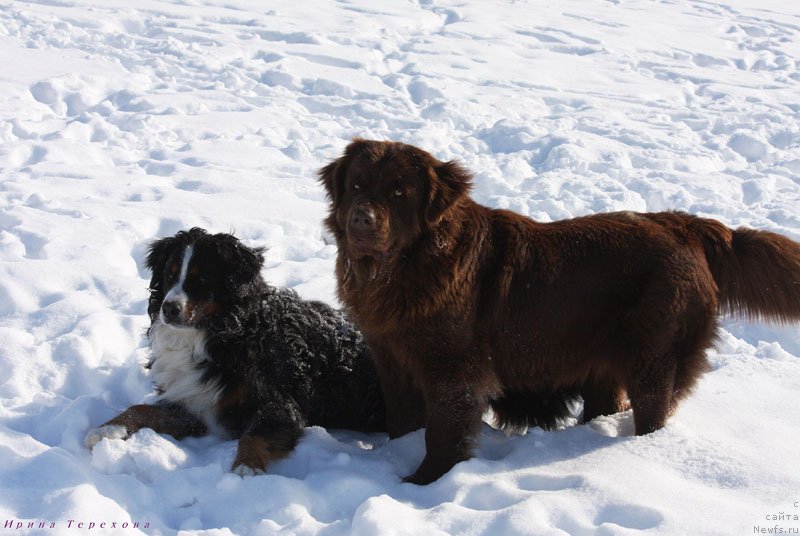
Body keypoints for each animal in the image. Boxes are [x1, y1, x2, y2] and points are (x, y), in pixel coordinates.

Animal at [86, 228, 386, 476]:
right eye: (170, 274)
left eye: (201, 278)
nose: (169, 308)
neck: (221, 336)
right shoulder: (194, 401)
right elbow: (141, 408)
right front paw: (107, 428)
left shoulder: (278, 404)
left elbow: (252, 435)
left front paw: (246, 466)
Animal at [318, 139, 800, 486]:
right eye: (357, 186)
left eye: (399, 193)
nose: (361, 219)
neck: (405, 270)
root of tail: (684, 225)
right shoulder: (391, 356)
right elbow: (402, 418)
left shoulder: (454, 372)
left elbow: (443, 433)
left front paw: (422, 484)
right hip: (605, 361)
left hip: (653, 356)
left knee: (652, 409)